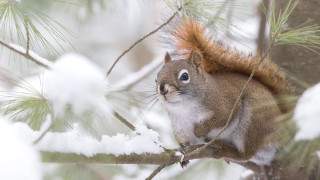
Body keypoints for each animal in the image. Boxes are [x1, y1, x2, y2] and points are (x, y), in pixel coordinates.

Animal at [155, 19, 290, 165]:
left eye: (185, 76)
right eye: (157, 77)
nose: (162, 89)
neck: (184, 109)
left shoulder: (225, 106)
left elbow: (220, 120)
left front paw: (199, 130)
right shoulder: (180, 128)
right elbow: (185, 144)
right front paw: (183, 155)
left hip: (253, 120)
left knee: (245, 154)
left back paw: (226, 149)